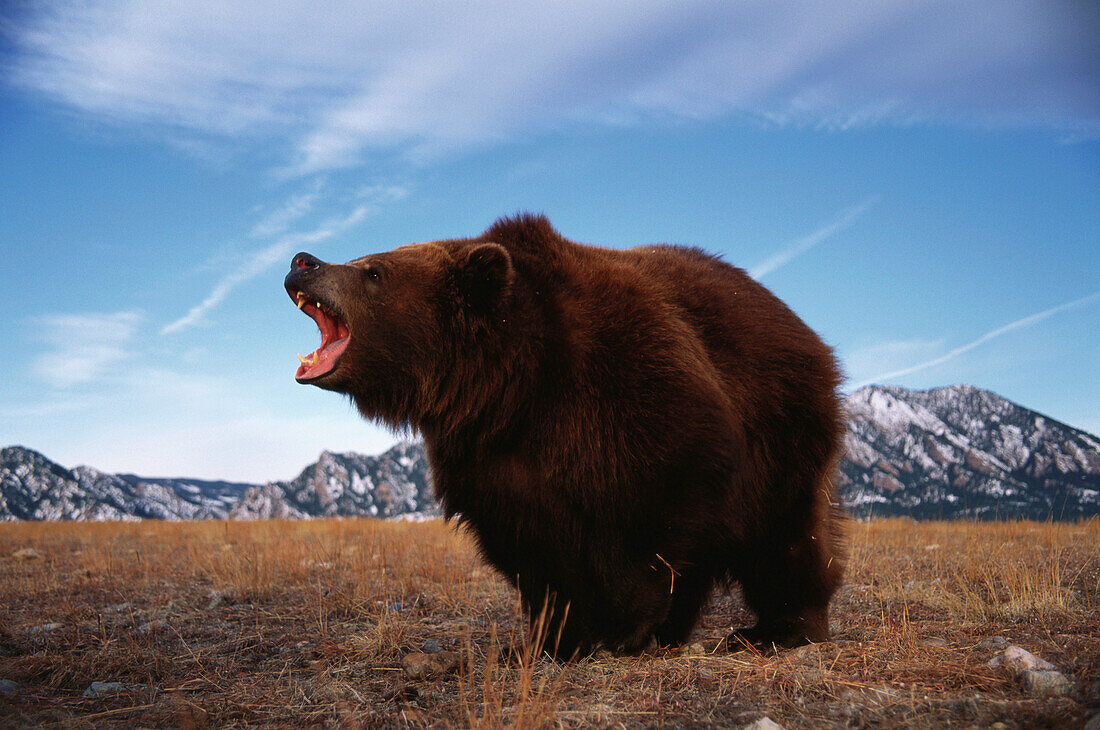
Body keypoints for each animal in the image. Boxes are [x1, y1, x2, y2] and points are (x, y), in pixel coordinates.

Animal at [288, 211, 844, 655]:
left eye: (373, 270)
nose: (303, 260)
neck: (515, 383)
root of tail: (802, 327)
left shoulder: (634, 392)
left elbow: (653, 517)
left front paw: (624, 628)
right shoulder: (491, 459)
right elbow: (533, 551)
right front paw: (547, 640)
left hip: (780, 427)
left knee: (785, 538)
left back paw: (777, 627)